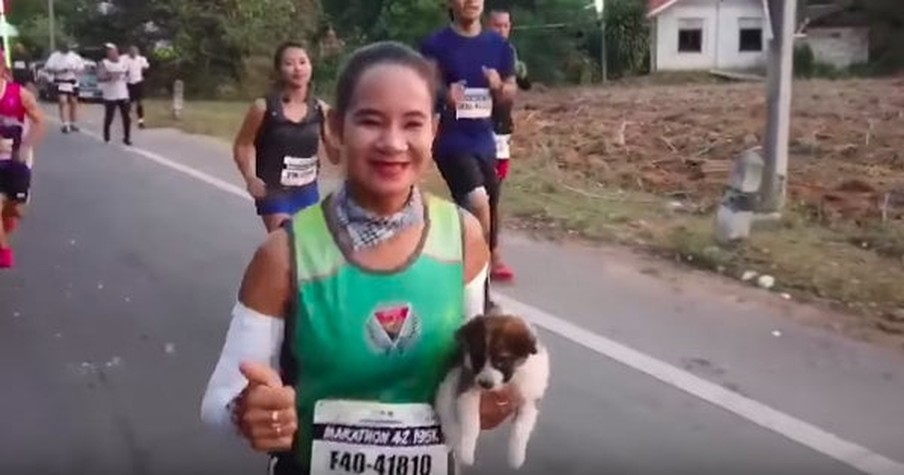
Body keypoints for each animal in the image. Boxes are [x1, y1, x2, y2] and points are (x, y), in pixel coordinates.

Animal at [436, 312, 552, 468]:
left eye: (501, 361)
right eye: (477, 359)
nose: (485, 384)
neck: (511, 379)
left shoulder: (529, 397)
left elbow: (521, 428)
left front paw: (516, 457)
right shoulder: (467, 386)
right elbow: (471, 423)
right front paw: (466, 451)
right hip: (447, 390)